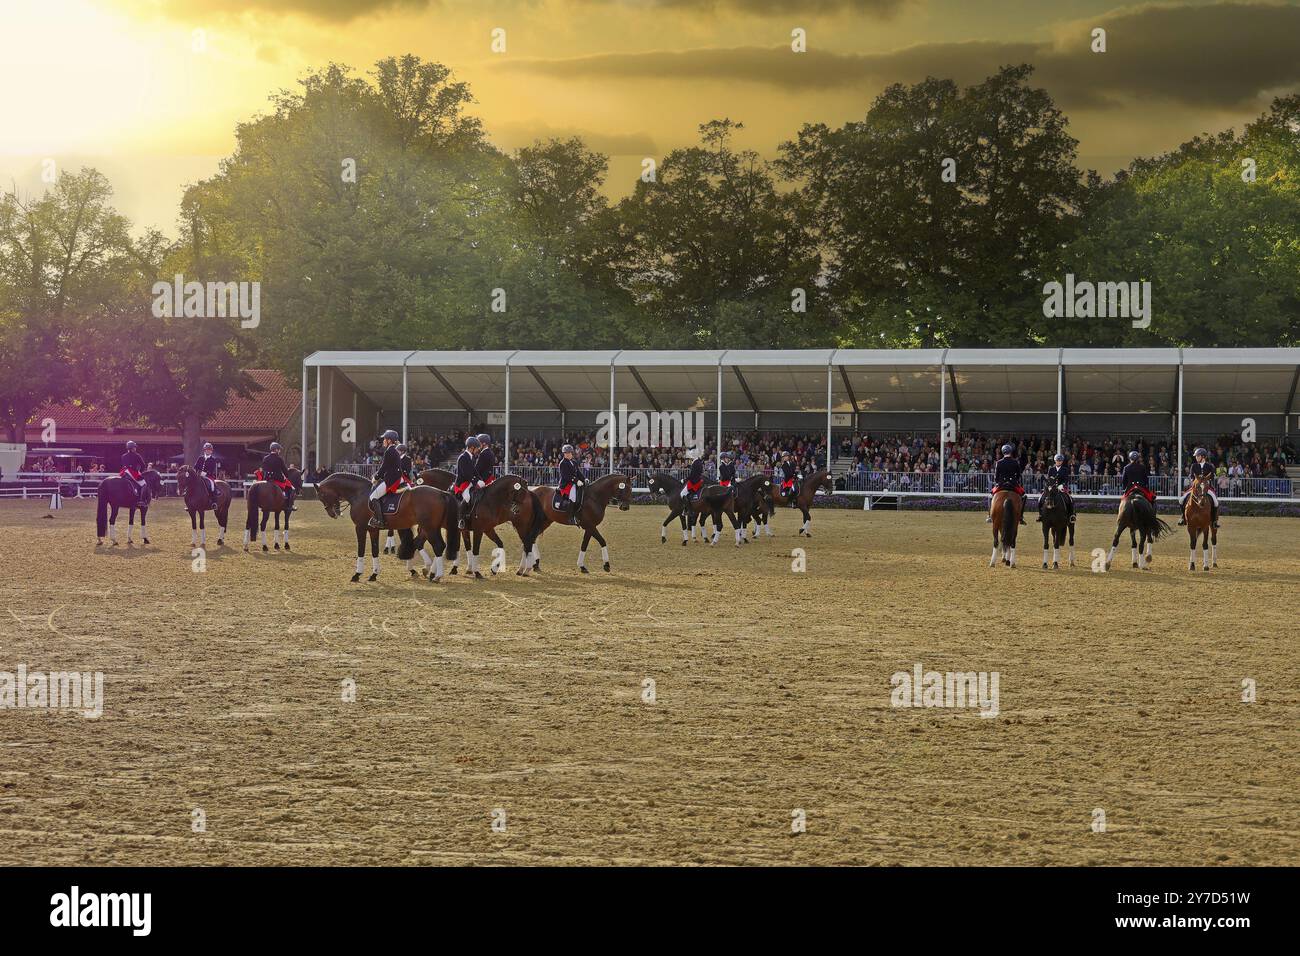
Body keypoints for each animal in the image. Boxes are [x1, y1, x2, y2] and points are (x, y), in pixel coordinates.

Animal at [313, 473, 457, 582]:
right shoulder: (373, 529)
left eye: (321, 496)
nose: (333, 513)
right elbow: (375, 550)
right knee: (427, 544)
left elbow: (361, 550)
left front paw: (357, 574)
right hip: (430, 527)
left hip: (430, 527)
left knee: (438, 546)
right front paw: (374, 574)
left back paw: (436, 575)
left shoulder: (360, 528)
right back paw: (429, 571)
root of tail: (441, 493)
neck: (359, 493)